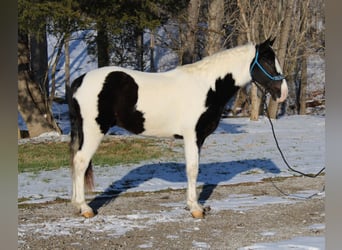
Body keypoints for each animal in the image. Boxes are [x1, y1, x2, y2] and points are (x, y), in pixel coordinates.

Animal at [67, 37, 288, 219]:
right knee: (80, 162)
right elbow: (192, 169)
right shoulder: (192, 136)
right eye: (268, 61)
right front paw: (196, 209)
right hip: (93, 131)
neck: (207, 86)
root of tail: (79, 81)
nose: (283, 93)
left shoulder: (199, 138)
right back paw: (85, 208)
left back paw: (77, 205)